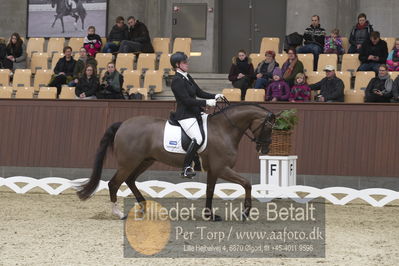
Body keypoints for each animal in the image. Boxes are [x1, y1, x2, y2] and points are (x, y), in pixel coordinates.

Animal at [77, 103, 276, 220]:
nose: (265, 150)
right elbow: (247, 183)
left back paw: (143, 207)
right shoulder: (222, 168)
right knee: (114, 183)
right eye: (268, 127)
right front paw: (246, 212)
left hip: (145, 161)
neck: (224, 129)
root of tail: (123, 124)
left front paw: (209, 215)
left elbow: (210, 191)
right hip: (129, 162)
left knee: (130, 180)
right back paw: (119, 213)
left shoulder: (214, 171)